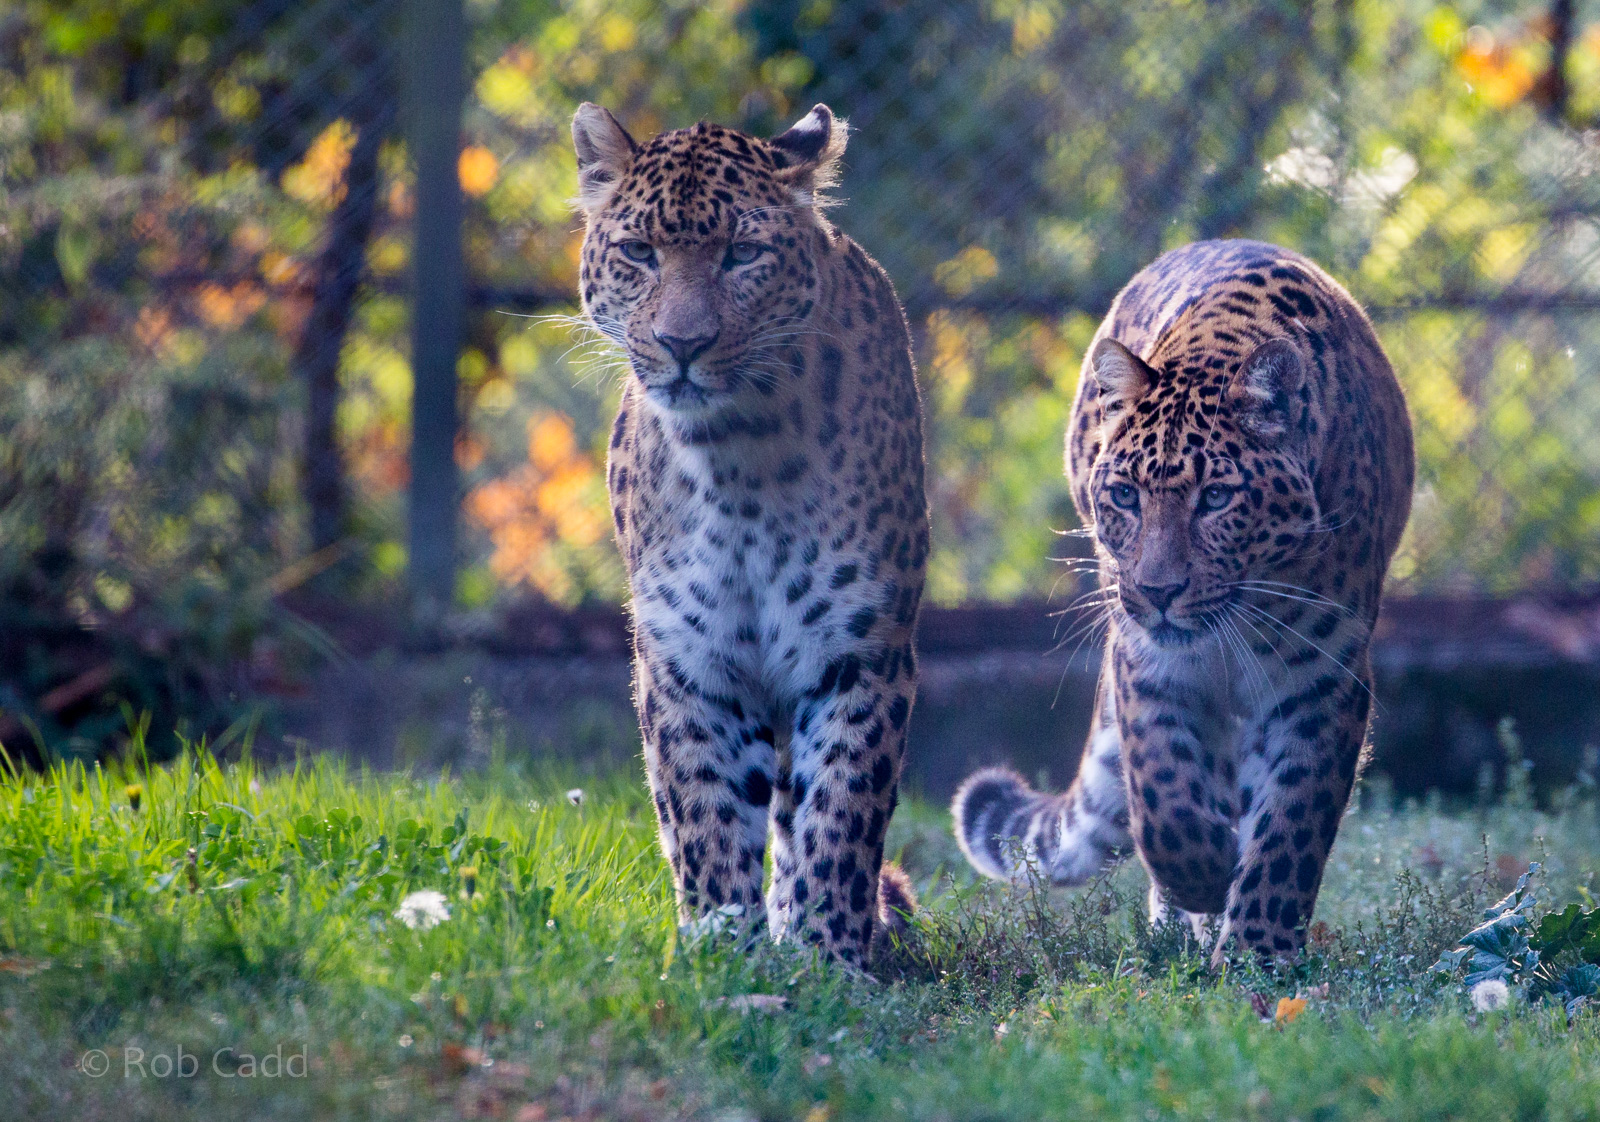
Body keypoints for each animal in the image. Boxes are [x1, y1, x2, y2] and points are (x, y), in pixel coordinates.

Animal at [571, 101, 928, 965]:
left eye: (742, 255)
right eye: (640, 252)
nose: (683, 344)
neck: (738, 459)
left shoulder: (860, 653)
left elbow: (841, 811)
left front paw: (831, 957)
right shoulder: (687, 660)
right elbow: (702, 809)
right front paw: (720, 951)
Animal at [952, 239, 1414, 963]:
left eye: (1217, 498)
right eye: (1124, 496)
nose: (1157, 590)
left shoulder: (1324, 681)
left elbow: (1292, 824)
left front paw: (1259, 951)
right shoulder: (1148, 664)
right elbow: (1162, 788)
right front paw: (1200, 877)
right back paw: (1182, 919)